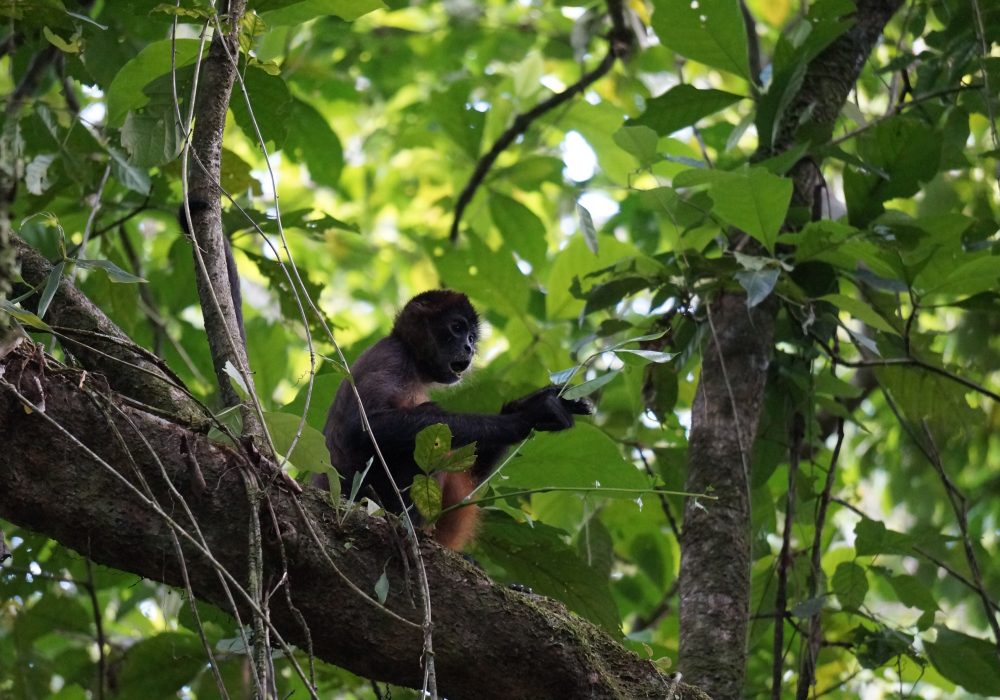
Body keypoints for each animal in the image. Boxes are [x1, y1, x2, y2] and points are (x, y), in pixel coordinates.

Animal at [320, 290, 588, 552]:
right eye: (457, 328)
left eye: (471, 337)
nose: (469, 347)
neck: (413, 359)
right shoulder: (391, 355)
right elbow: (362, 429)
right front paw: (524, 418)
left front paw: (525, 405)